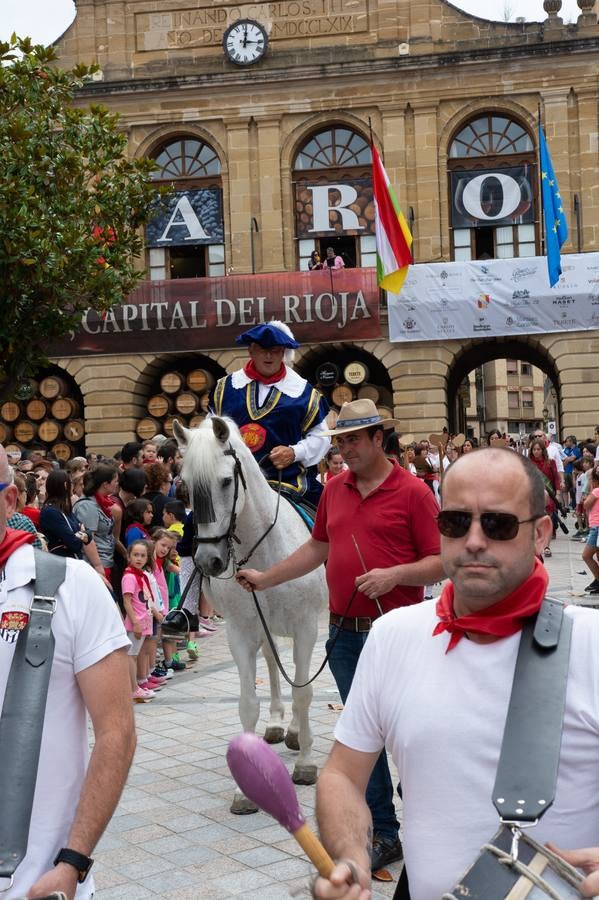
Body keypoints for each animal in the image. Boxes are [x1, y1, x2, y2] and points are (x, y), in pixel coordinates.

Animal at [173, 418, 328, 812]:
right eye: (185, 484)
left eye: (227, 481)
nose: (209, 561)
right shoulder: (241, 632)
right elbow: (247, 703)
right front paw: (245, 790)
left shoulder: (307, 626)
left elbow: (304, 693)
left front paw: (306, 764)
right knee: (274, 664)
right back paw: (276, 725)